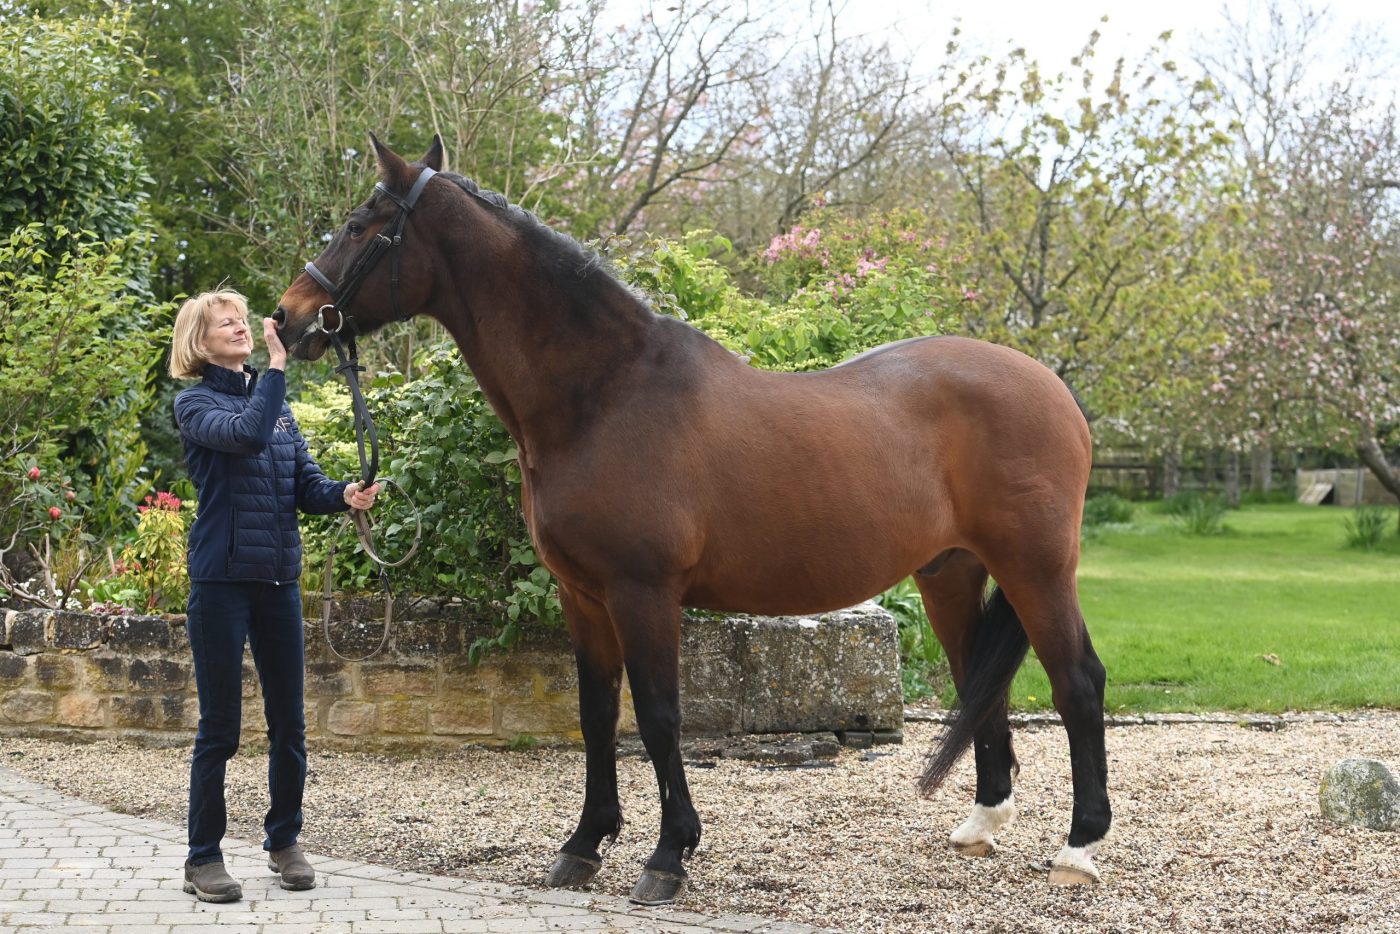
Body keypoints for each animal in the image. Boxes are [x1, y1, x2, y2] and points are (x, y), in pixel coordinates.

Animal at [274, 135, 1111, 904]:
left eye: (359, 224)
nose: (288, 319)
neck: (606, 394)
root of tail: (1055, 390)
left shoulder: (643, 592)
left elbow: (658, 717)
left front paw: (668, 855)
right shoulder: (582, 596)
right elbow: (595, 715)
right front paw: (583, 845)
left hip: (1037, 568)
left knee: (1077, 681)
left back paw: (1078, 848)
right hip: (951, 573)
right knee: (983, 684)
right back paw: (983, 824)